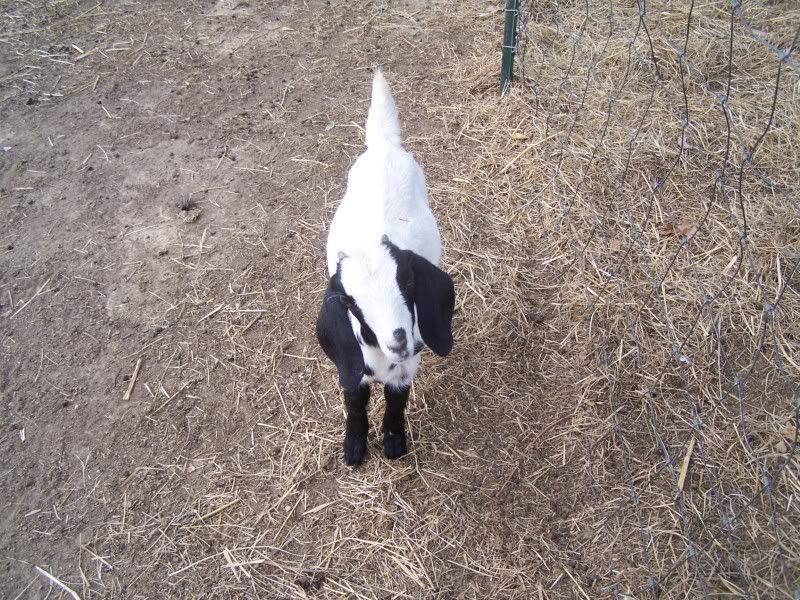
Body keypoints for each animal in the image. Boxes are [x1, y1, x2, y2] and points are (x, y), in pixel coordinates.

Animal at [316, 70, 455, 466]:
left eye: (407, 281)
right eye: (350, 304)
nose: (399, 339)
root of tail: (383, 146)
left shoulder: (408, 365)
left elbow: (397, 399)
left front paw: (393, 441)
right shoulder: (351, 361)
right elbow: (355, 399)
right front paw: (353, 446)